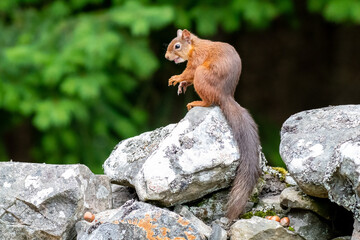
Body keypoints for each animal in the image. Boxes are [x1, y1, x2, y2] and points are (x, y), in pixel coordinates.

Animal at [165, 29, 260, 220]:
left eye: (177, 46)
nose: (166, 56)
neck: (195, 46)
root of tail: (225, 95)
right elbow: (187, 78)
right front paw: (181, 84)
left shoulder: (197, 61)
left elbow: (189, 72)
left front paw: (176, 78)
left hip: (202, 75)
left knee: (209, 101)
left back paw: (196, 103)